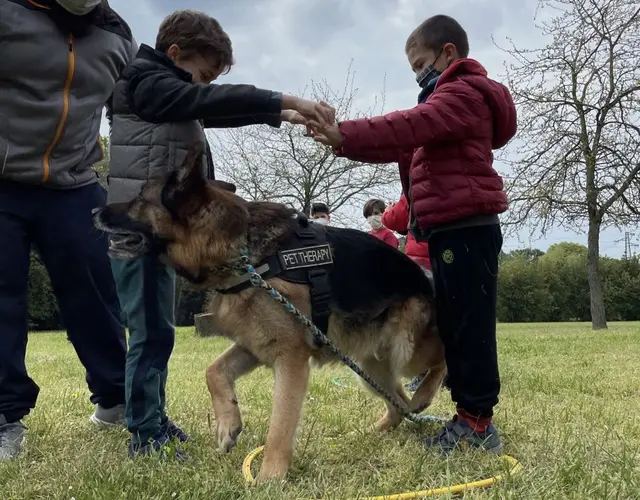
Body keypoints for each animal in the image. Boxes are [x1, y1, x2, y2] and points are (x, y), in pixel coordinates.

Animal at [94, 146, 444, 482]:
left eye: (140, 198)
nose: (95, 211)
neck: (239, 251)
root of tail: (425, 280)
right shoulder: (254, 345)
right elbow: (213, 372)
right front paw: (227, 424)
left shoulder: (290, 359)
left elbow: (280, 425)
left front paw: (269, 478)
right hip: (369, 364)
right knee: (399, 403)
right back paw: (369, 432)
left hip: (406, 349)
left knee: (441, 361)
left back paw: (424, 395)